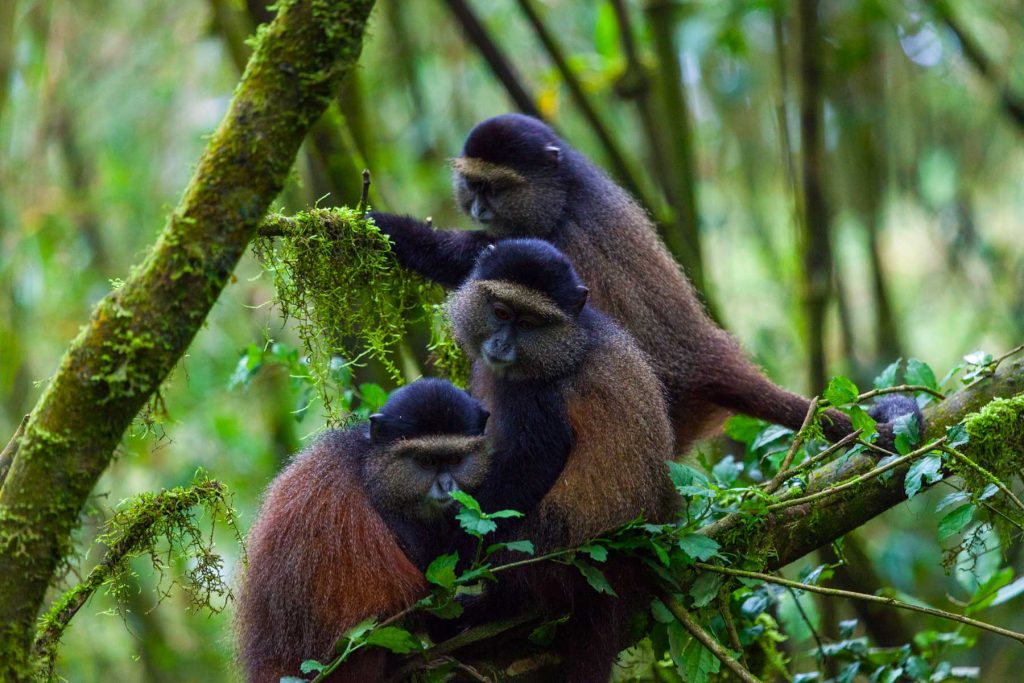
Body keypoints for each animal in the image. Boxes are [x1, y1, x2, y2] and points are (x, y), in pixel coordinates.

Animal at [369, 113, 923, 453]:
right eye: (473, 185)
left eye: (496, 187)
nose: (480, 207)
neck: (565, 192)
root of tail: (706, 356)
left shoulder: (550, 243)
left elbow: (475, 260)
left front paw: (380, 226)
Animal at [445, 238, 677, 681]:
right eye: (501, 313)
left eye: (530, 322)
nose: (501, 346)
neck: (567, 343)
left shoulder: (539, 399)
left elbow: (531, 464)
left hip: (553, 551)